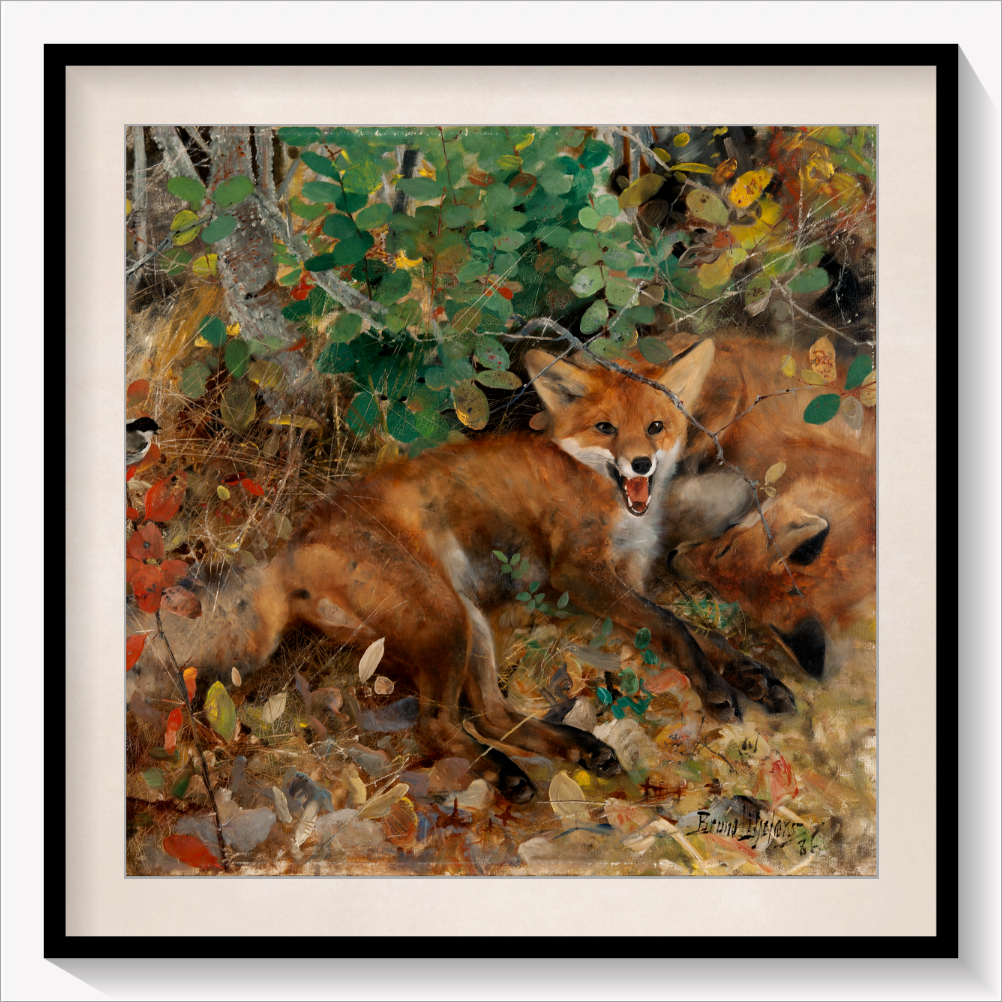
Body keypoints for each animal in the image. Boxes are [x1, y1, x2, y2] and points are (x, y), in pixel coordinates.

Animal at [128, 337, 796, 803]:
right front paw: (718, 693)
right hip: (446, 619)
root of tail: (290, 547)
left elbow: (700, 632)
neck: (607, 496)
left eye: (657, 427)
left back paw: (579, 749)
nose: (640, 463)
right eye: (606, 428)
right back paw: (507, 775)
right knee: (439, 725)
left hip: (468, 622)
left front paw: (756, 679)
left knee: (492, 715)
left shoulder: (628, 580)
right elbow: (676, 629)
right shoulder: (581, 575)